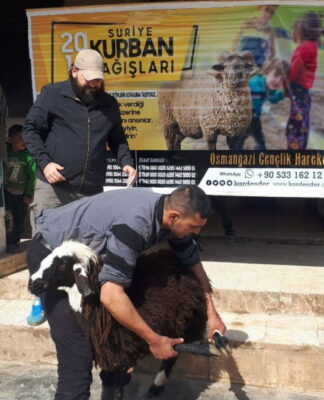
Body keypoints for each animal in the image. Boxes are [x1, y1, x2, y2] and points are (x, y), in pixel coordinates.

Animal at [29, 242, 225, 398]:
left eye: (62, 264)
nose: (32, 284)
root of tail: (174, 257)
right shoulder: (107, 349)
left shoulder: (118, 349)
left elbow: (118, 386)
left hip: (180, 321)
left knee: (171, 355)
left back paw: (157, 386)